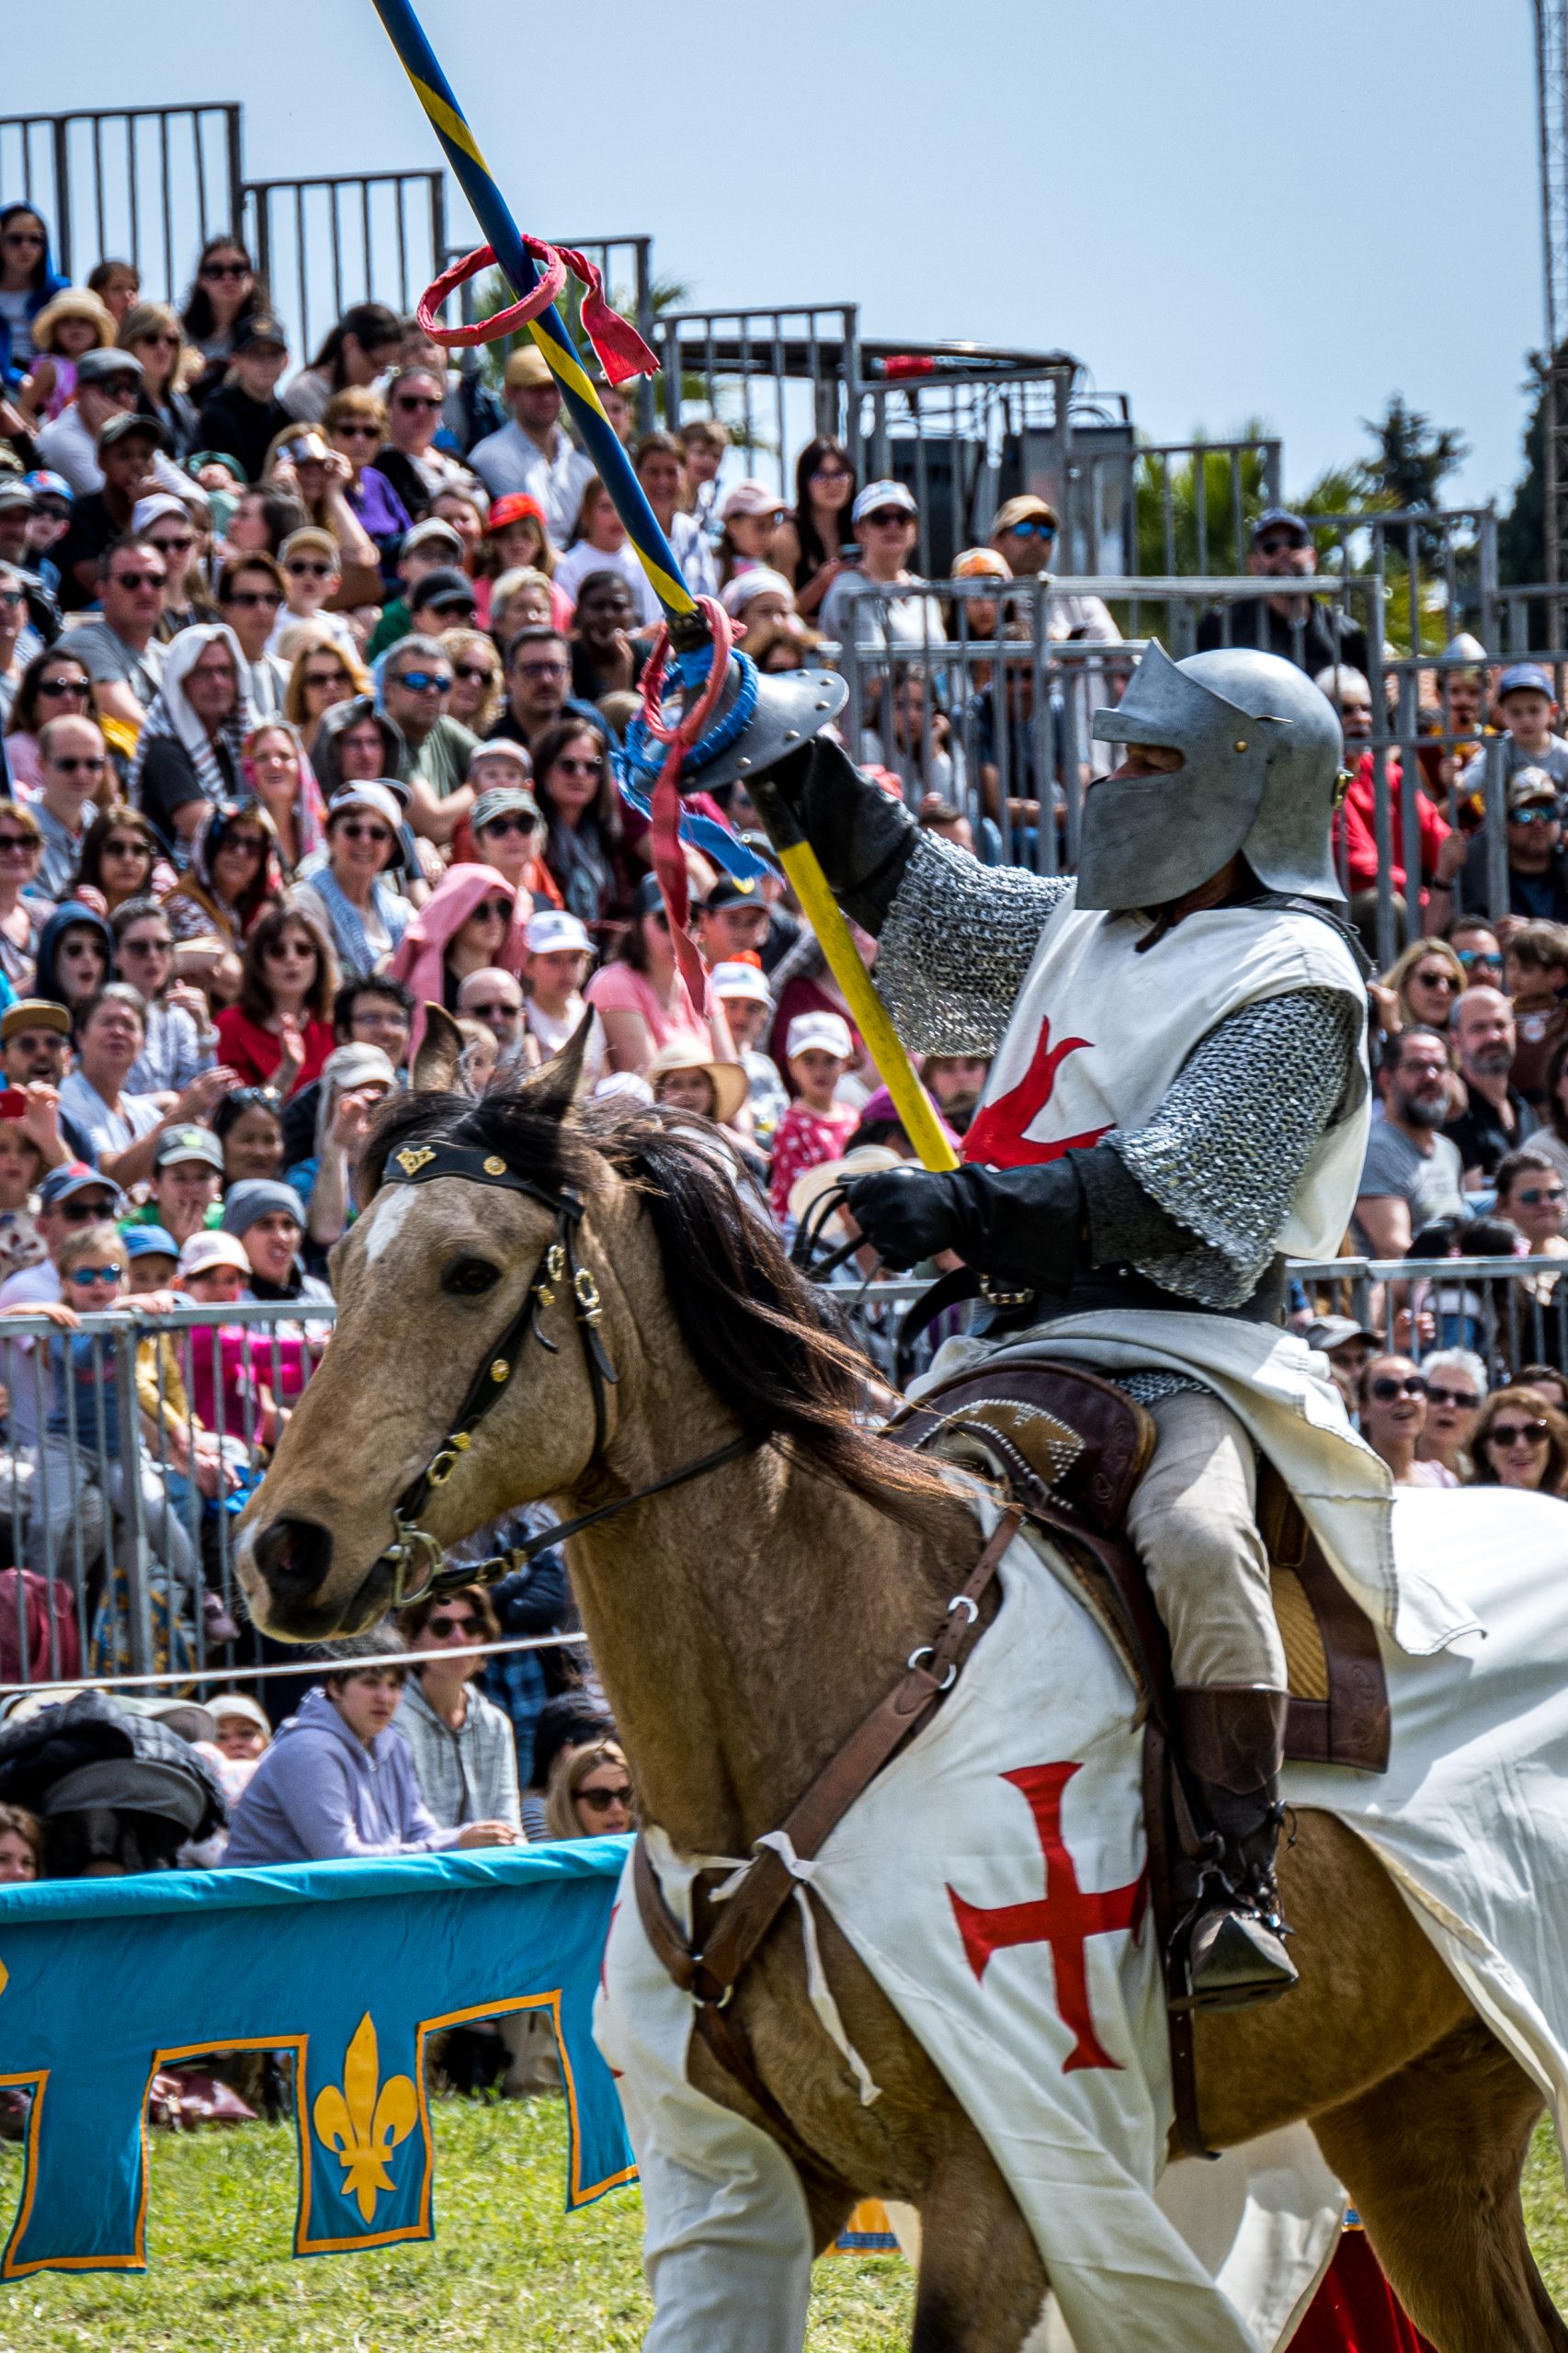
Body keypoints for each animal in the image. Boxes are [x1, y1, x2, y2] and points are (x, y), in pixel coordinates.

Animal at [235, 1040, 1562, 2343]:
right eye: (341, 1264)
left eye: (470, 1270)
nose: (284, 1551)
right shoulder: (729, 2189)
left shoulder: (1007, 2194)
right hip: (1416, 2114)